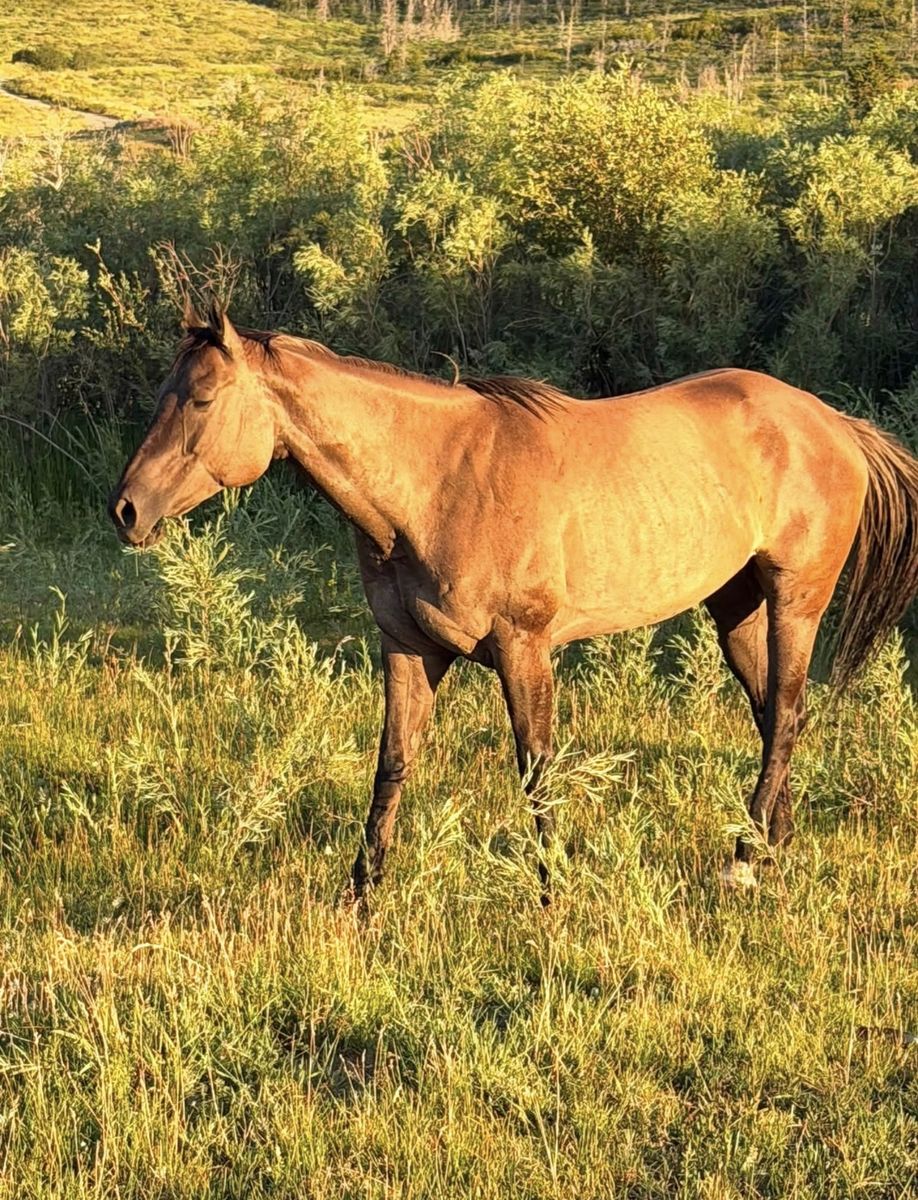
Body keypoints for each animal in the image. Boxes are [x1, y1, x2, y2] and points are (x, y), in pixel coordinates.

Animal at [109, 302, 918, 900]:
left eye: (203, 399)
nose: (127, 510)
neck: (434, 484)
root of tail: (833, 423)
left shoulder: (523, 649)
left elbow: (536, 770)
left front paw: (554, 888)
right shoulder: (409, 649)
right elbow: (393, 763)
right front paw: (361, 896)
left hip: (796, 602)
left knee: (785, 713)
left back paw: (743, 862)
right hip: (735, 608)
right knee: (774, 715)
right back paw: (772, 848)